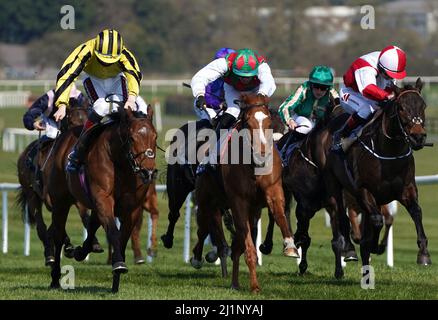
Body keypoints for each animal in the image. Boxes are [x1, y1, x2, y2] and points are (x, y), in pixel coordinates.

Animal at [48, 103, 157, 292]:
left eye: (155, 137)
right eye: (132, 138)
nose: (148, 172)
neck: (121, 163)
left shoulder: (132, 208)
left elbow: (122, 237)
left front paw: (116, 281)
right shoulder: (103, 199)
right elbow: (113, 231)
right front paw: (119, 264)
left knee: (91, 225)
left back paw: (82, 251)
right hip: (60, 201)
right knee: (58, 234)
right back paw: (55, 278)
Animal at [191, 94, 298, 294]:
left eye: (268, 122)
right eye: (248, 123)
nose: (262, 154)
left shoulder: (273, 192)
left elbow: (280, 216)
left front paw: (290, 246)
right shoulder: (238, 201)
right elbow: (248, 247)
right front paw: (255, 286)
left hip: (249, 211)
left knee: (235, 244)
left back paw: (234, 282)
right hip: (206, 200)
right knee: (203, 229)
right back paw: (197, 258)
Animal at [326, 78, 432, 278]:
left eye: (423, 105)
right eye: (401, 107)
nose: (418, 137)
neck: (389, 152)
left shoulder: (406, 189)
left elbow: (416, 212)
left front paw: (424, 254)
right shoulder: (363, 190)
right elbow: (375, 221)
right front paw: (370, 245)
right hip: (337, 188)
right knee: (342, 218)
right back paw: (348, 252)